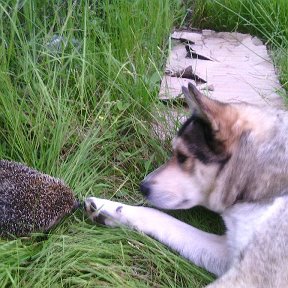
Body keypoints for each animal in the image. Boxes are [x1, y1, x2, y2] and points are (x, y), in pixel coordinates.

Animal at [83, 82, 288, 286]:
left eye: (182, 156)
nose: (143, 187)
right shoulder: (228, 251)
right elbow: (160, 217)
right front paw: (108, 208)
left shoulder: (247, 276)